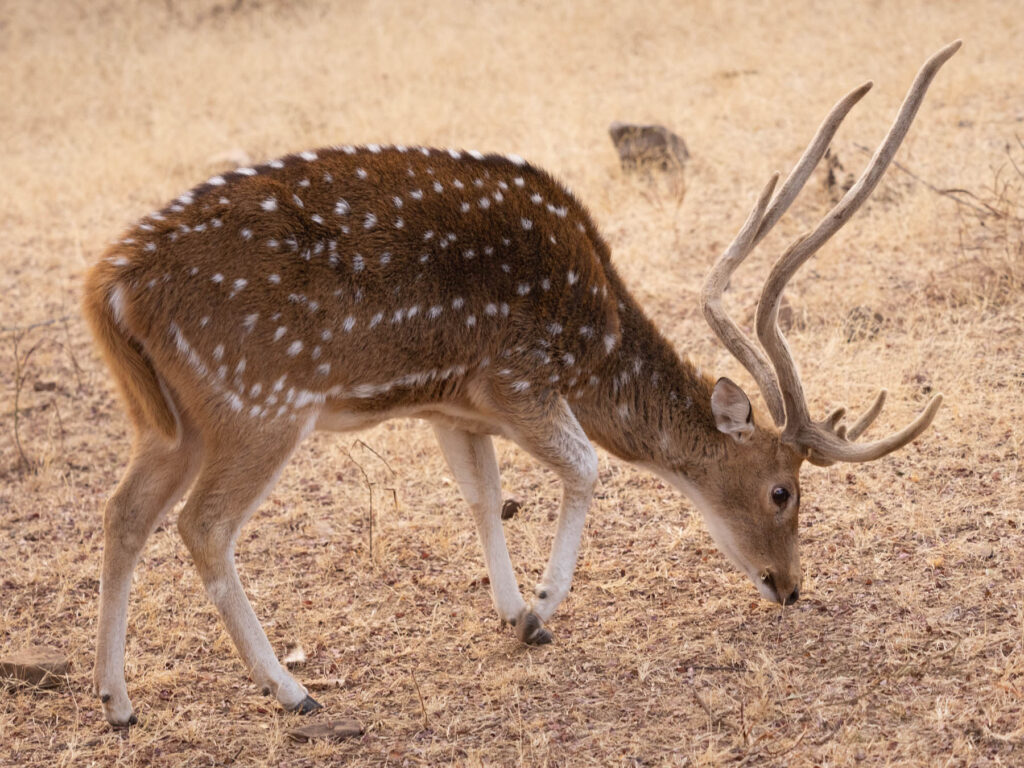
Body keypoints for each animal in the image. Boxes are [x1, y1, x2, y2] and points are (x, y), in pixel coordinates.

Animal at [83, 41, 954, 729]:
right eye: (782, 491)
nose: (790, 587)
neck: (594, 343)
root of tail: (111, 288)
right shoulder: (516, 377)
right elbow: (586, 467)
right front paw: (541, 607)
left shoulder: (453, 407)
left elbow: (482, 495)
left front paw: (512, 612)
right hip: (257, 402)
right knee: (201, 525)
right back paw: (292, 691)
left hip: (166, 419)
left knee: (122, 512)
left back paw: (117, 702)